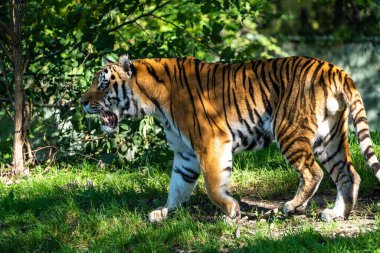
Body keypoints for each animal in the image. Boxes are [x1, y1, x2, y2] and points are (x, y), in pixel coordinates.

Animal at [81, 54, 380, 221]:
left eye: (103, 84)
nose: (82, 102)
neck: (152, 101)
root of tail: (335, 69)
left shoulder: (211, 141)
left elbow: (212, 185)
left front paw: (232, 210)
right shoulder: (185, 154)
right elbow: (177, 186)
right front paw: (165, 212)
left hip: (290, 130)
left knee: (313, 172)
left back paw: (293, 207)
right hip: (329, 138)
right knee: (349, 175)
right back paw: (336, 214)